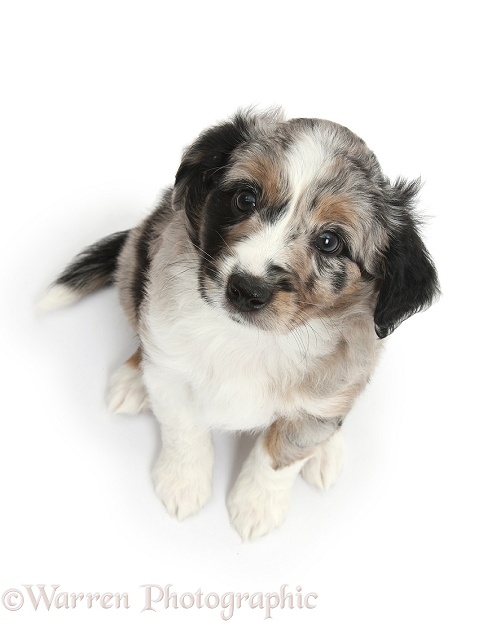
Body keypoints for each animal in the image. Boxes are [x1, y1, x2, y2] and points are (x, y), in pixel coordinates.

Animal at [42, 109, 440, 540]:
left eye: (330, 242)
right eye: (245, 199)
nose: (247, 290)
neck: (251, 340)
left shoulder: (322, 397)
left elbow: (279, 455)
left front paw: (256, 506)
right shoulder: (172, 371)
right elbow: (185, 429)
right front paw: (184, 483)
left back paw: (326, 451)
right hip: (138, 257)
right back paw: (133, 379)